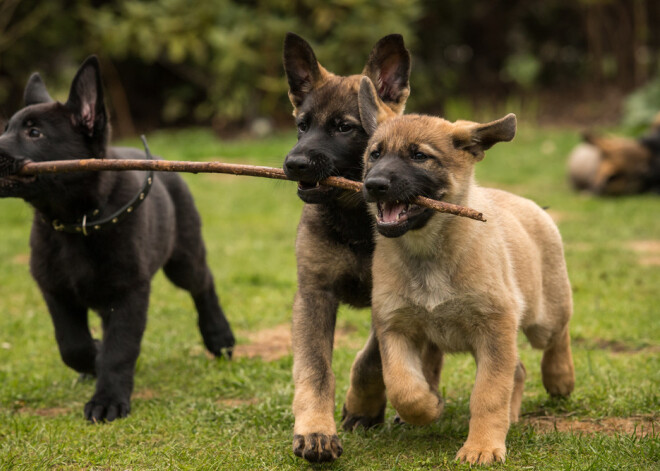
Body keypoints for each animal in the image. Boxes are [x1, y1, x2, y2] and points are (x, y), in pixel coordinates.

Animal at [0, 56, 235, 424]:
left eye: (34, 133)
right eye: (7, 128)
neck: (78, 221)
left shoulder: (130, 292)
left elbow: (119, 349)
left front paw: (108, 400)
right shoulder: (55, 289)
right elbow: (72, 344)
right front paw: (92, 359)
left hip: (182, 259)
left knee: (203, 283)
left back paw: (218, 335)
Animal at [346, 77, 576, 464]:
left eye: (419, 156)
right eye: (375, 154)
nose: (373, 185)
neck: (428, 252)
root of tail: (530, 205)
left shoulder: (495, 328)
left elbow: (488, 394)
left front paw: (481, 446)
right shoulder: (395, 327)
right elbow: (403, 385)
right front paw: (428, 407)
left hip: (544, 315)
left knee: (556, 336)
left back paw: (560, 378)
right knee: (518, 370)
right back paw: (513, 415)